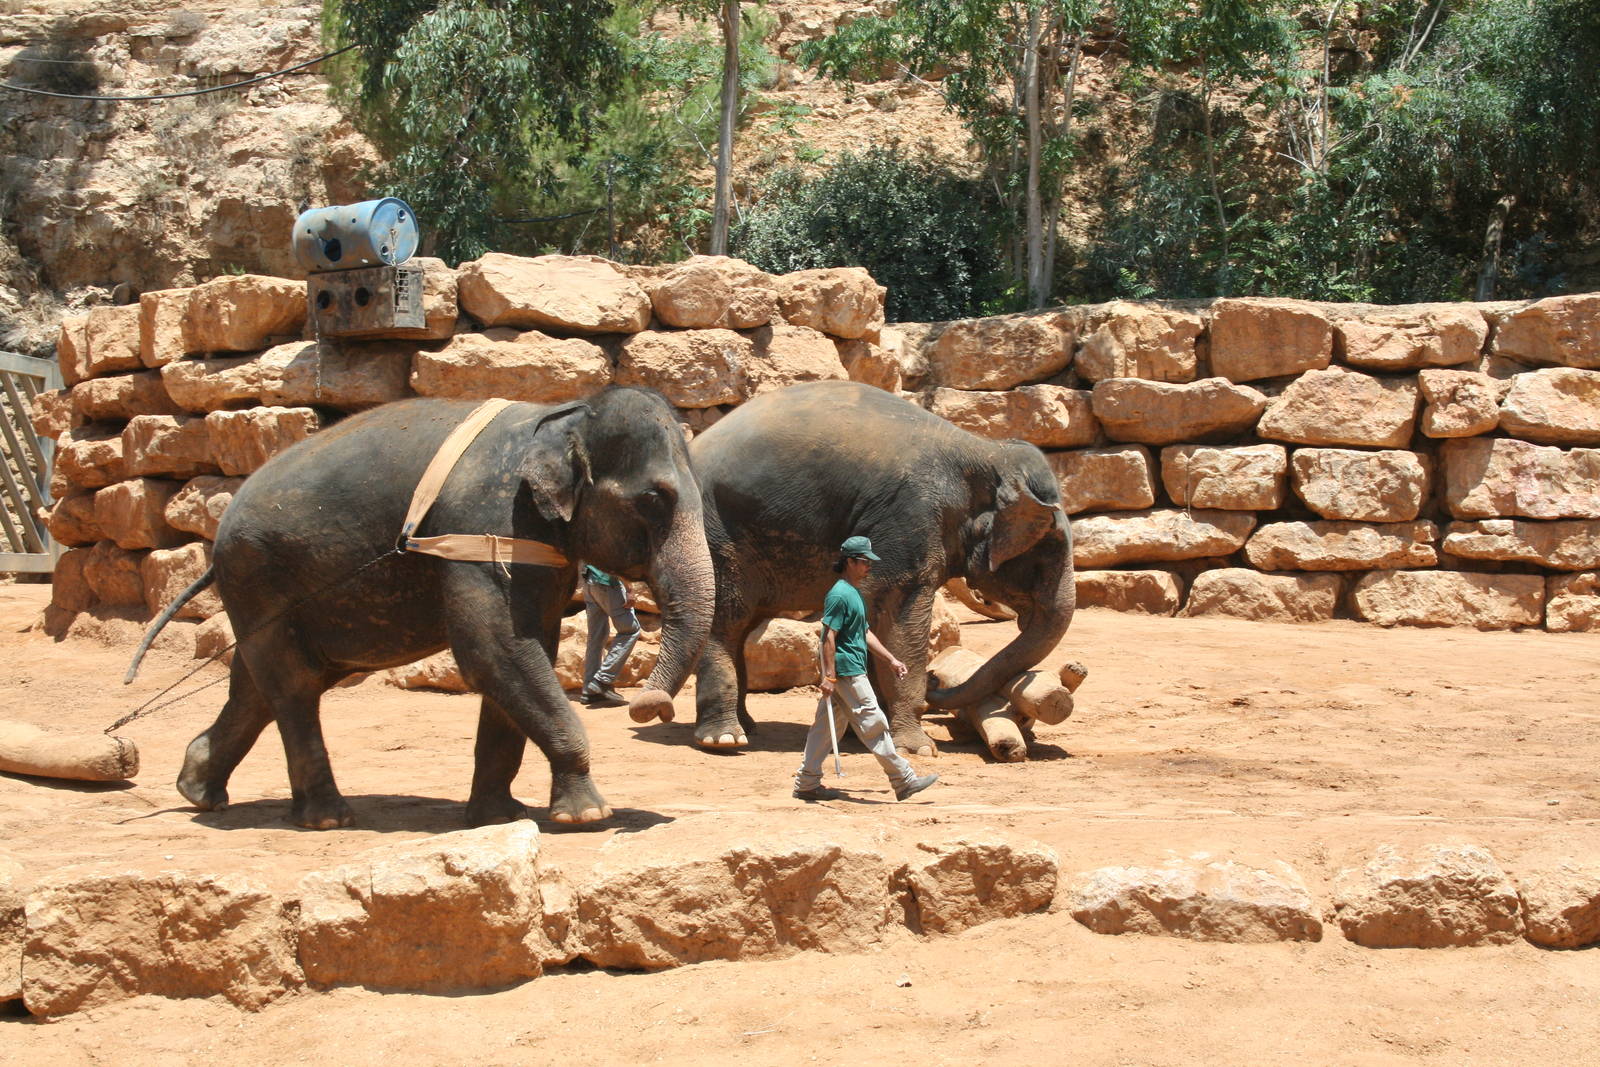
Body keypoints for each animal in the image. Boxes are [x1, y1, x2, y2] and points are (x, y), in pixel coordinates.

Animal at [128, 386, 714, 829]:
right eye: (654, 499)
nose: (648, 706)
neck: (563, 412)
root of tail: (222, 527)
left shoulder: (536, 548)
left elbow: (525, 654)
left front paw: (500, 816)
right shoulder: (487, 526)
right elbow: (495, 651)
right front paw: (589, 817)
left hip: (265, 593)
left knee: (257, 684)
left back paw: (198, 791)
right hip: (258, 574)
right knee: (293, 685)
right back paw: (328, 818)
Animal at [689, 379, 1075, 754]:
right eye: (1048, 548)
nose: (935, 679)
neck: (985, 450)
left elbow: (874, 619)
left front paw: (869, 733)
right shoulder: (909, 520)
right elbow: (899, 619)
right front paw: (919, 749)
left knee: (743, 626)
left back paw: (747, 727)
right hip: (716, 536)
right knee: (727, 620)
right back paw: (724, 739)